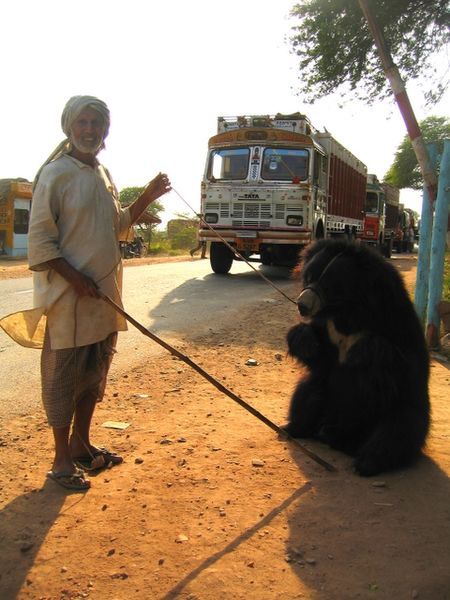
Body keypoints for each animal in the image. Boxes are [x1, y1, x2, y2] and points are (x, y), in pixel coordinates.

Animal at [284, 237, 428, 476]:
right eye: (309, 277)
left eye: (329, 286)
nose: (302, 305)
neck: (347, 311)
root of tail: (339, 435)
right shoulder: (328, 327)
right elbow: (321, 359)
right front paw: (304, 339)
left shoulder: (398, 320)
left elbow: (407, 366)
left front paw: (360, 351)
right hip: (325, 396)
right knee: (306, 391)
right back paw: (295, 428)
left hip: (398, 414)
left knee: (398, 429)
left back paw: (367, 462)